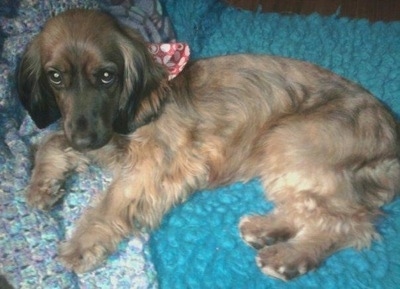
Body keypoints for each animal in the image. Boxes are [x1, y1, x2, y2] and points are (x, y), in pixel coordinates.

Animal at [16, 8, 400, 280]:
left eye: (107, 76)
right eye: (55, 77)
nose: (84, 139)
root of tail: (391, 141)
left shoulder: (154, 163)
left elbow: (111, 203)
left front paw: (81, 244)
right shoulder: (100, 138)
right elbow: (51, 140)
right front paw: (42, 185)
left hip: (290, 139)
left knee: (351, 223)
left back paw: (291, 257)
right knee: (320, 210)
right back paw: (266, 230)